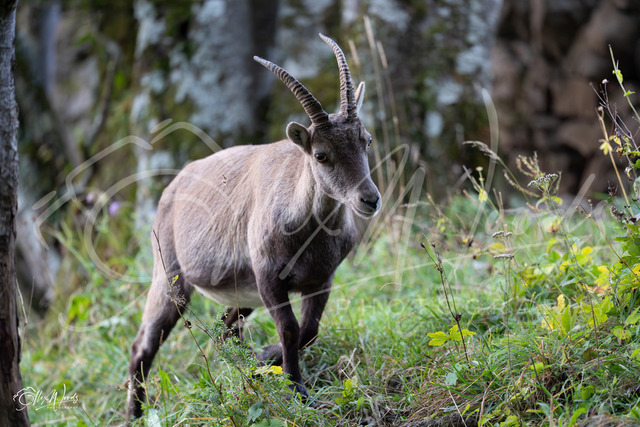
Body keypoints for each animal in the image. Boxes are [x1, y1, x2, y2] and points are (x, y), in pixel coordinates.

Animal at [126, 34, 381, 419]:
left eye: (366, 140)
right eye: (321, 155)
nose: (369, 200)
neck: (308, 234)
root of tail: (174, 186)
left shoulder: (321, 280)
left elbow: (309, 330)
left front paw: (268, 362)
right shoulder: (269, 277)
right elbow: (291, 329)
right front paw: (297, 391)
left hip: (239, 292)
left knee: (226, 330)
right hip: (170, 276)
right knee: (143, 344)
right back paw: (135, 413)